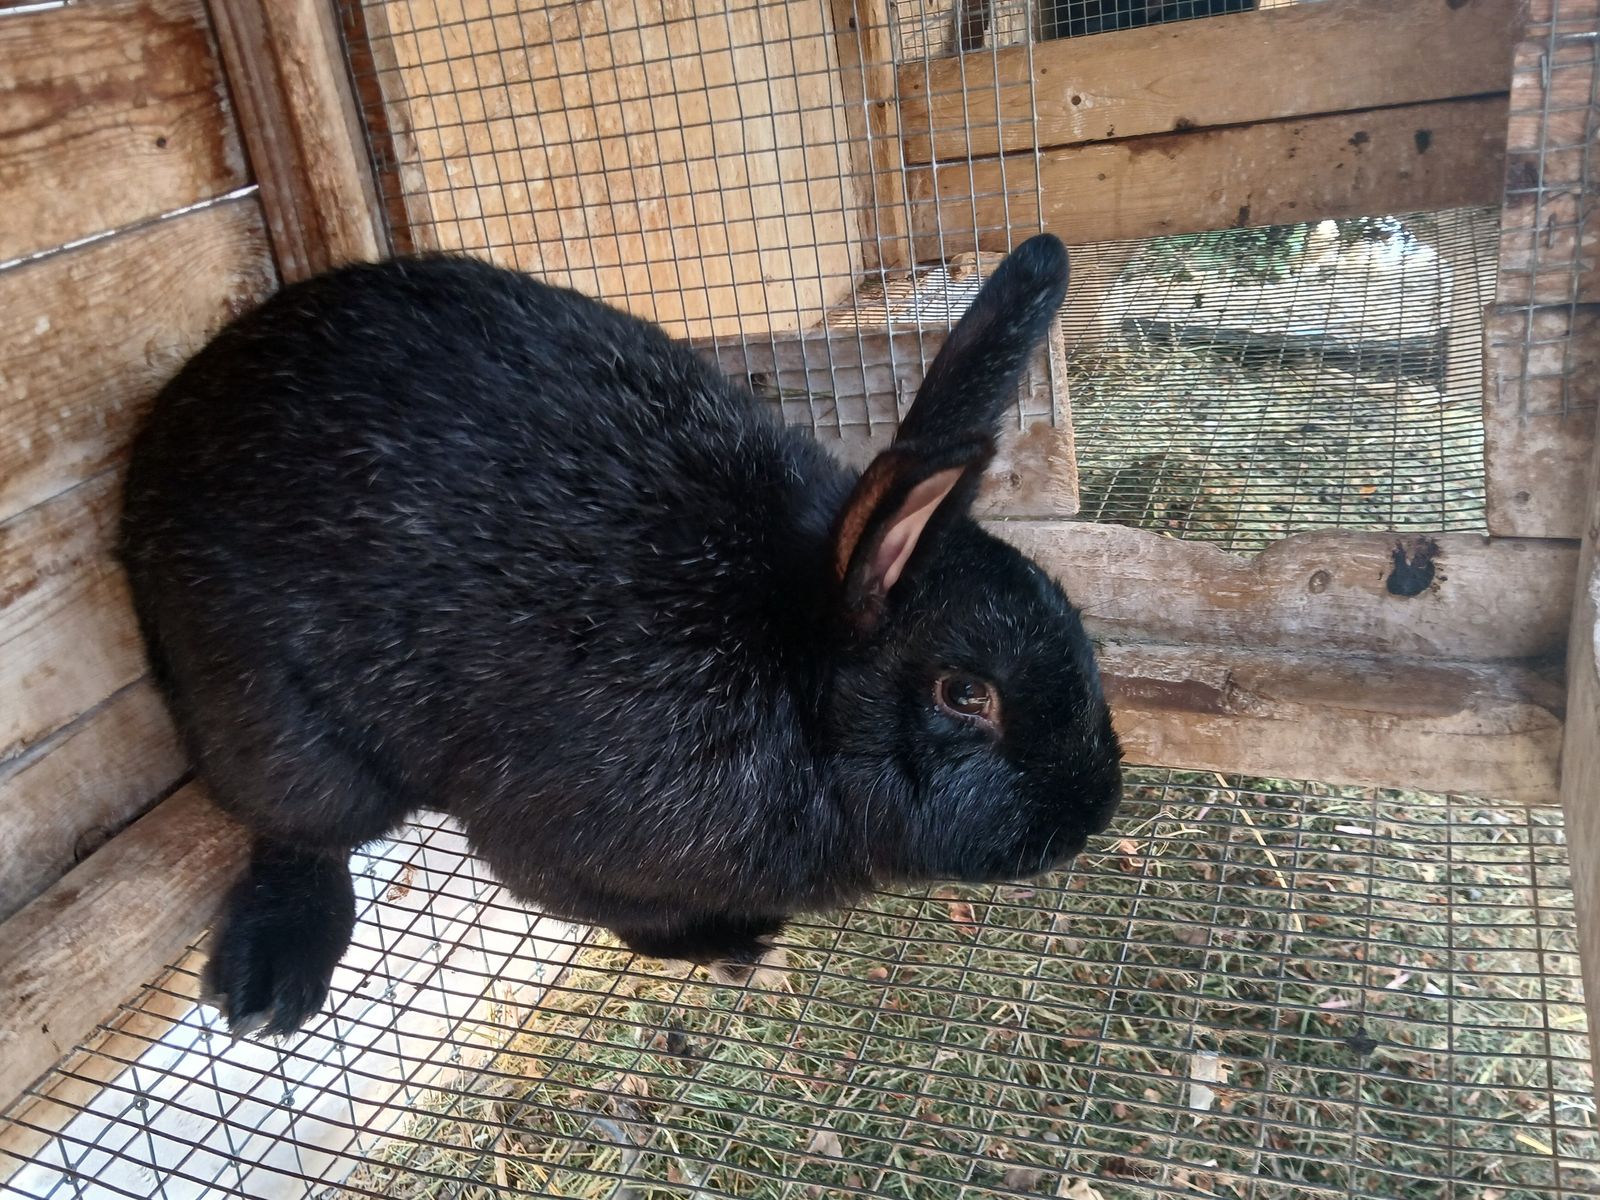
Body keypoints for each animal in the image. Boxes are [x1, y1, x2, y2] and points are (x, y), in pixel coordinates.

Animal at [118, 232, 1124, 1039]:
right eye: (966, 694)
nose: (1090, 815)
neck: (793, 668)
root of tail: (163, 442)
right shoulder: (559, 849)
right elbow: (626, 920)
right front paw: (733, 943)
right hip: (276, 720)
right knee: (295, 826)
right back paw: (270, 981)